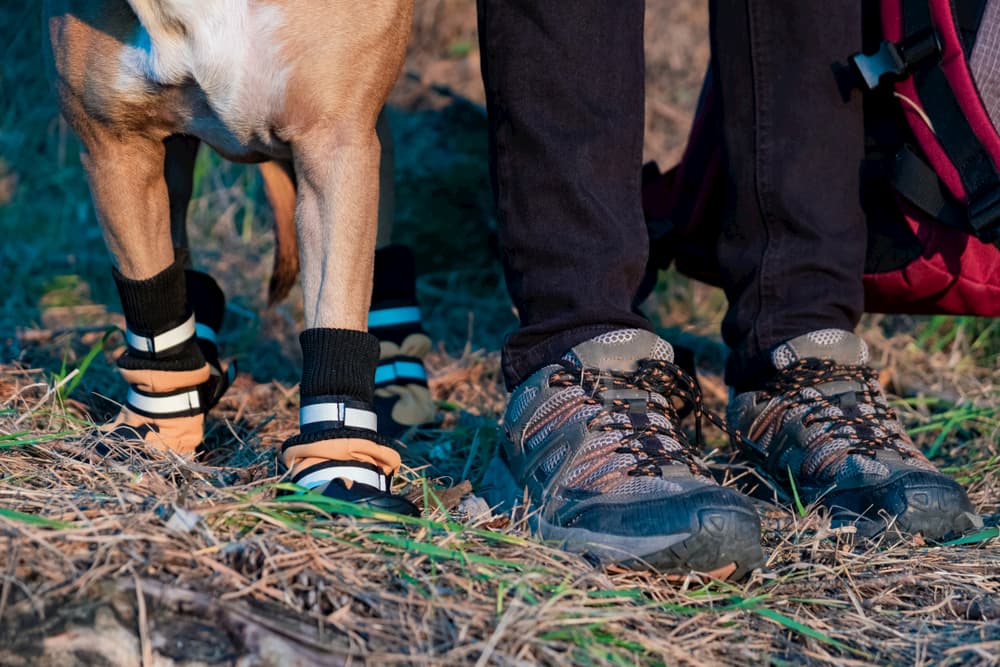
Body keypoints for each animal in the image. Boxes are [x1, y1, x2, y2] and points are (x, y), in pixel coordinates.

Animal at [44, 0, 422, 516]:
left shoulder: (336, 142)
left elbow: (336, 310)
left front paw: (341, 465)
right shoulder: (117, 147)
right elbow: (152, 293)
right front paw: (155, 428)